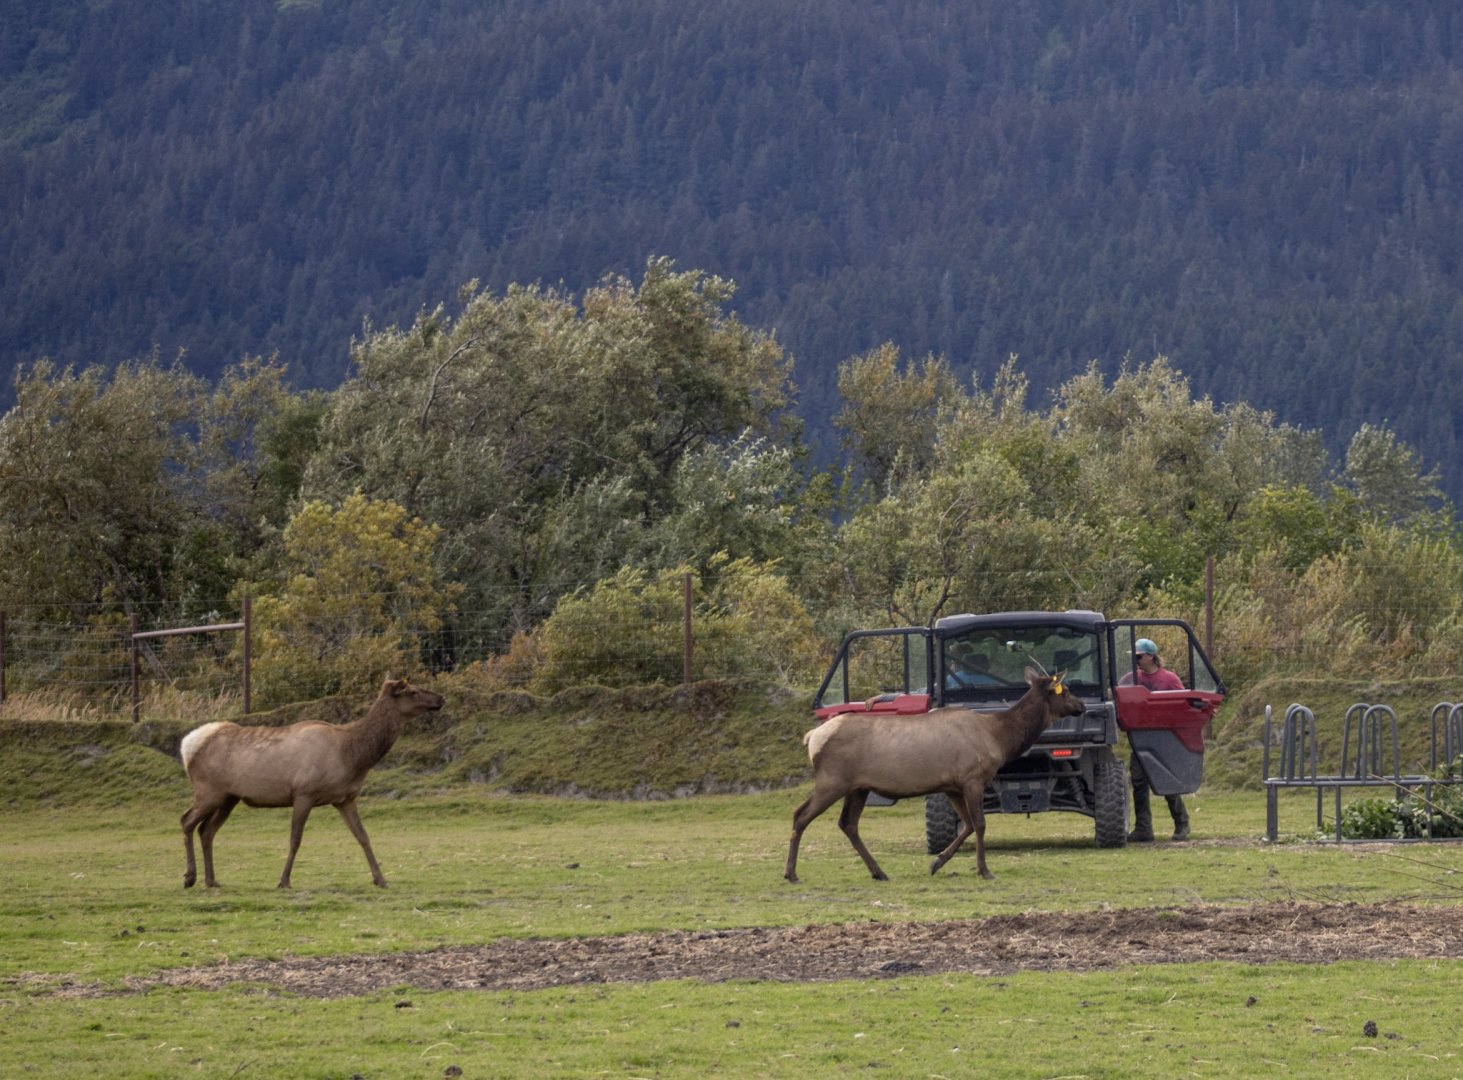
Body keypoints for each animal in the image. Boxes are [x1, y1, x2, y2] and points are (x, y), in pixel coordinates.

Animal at [179, 677, 446, 889]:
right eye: (413, 691)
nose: (441, 698)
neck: (351, 756)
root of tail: (187, 745)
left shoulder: (345, 798)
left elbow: (363, 836)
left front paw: (381, 879)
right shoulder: (303, 793)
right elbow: (295, 839)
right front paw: (284, 881)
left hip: (229, 797)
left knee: (206, 830)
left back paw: (211, 880)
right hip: (208, 791)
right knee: (187, 821)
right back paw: (190, 877)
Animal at [784, 666, 1085, 883]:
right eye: (1066, 690)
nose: (1082, 706)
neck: (999, 738)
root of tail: (811, 738)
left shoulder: (952, 785)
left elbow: (968, 825)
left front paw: (936, 863)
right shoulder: (972, 778)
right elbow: (980, 824)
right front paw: (984, 870)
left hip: (858, 787)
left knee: (848, 824)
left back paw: (878, 872)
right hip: (832, 781)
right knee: (801, 815)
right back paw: (791, 873)